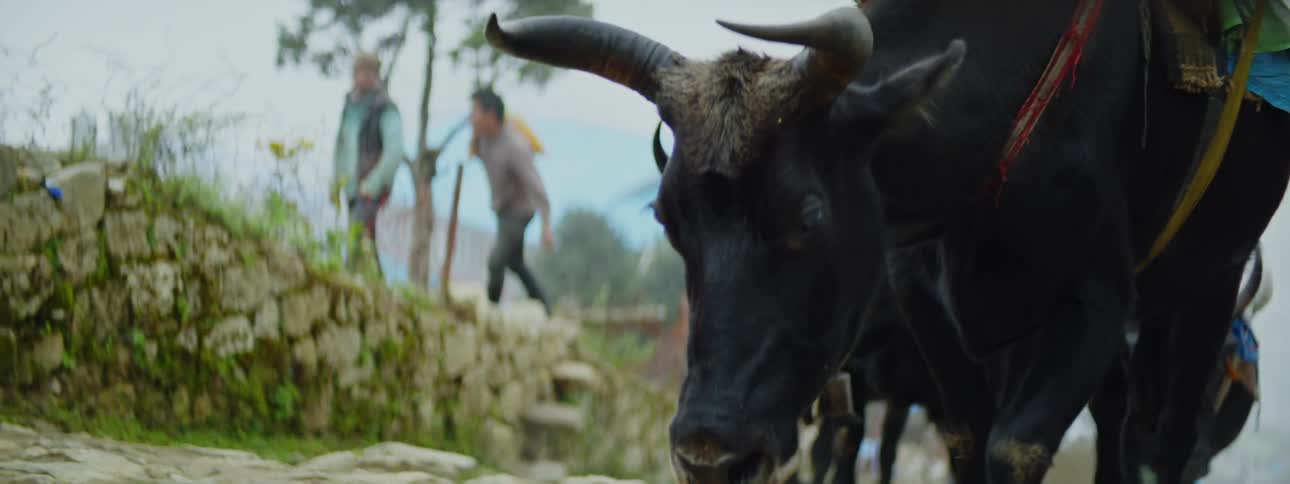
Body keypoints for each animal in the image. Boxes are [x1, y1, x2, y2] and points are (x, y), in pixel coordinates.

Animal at [483, 1, 1290, 482]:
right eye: (666, 219)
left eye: (808, 216)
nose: (711, 455)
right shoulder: (932, 320)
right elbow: (964, 444)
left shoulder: (1093, 303)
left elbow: (1015, 448)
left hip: (1207, 283)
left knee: (1166, 441)